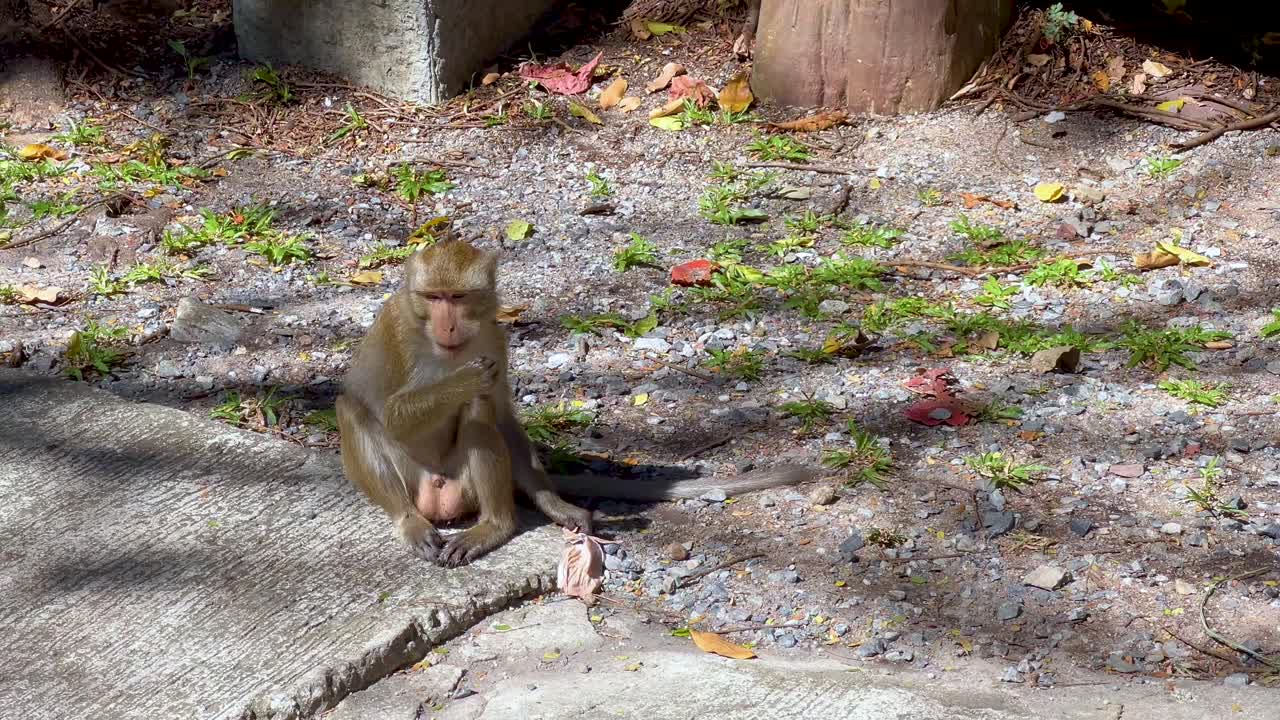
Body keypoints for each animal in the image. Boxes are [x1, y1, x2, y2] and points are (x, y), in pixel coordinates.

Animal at [337, 237, 812, 567]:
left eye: (458, 298)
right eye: (432, 297)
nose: (448, 325)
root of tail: (438, 502)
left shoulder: (493, 333)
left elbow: (502, 416)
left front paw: (553, 503)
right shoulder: (396, 331)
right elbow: (392, 414)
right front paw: (466, 377)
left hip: (461, 488)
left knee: (480, 413)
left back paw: (495, 526)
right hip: (414, 485)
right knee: (352, 409)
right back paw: (411, 521)